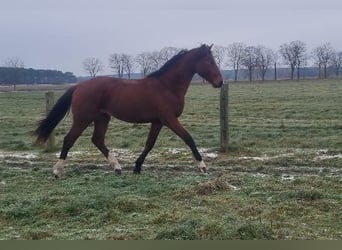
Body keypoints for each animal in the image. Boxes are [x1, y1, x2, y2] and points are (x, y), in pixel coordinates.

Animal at [34, 45, 222, 178]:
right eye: (210, 61)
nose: (220, 82)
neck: (167, 86)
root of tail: (79, 86)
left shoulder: (158, 122)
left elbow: (149, 144)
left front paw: (137, 167)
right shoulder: (169, 119)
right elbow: (188, 138)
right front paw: (202, 166)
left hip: (102, 118)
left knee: (97, 140)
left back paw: (117, 167)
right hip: (83, 118)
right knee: (69, 140)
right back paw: (57, 171)